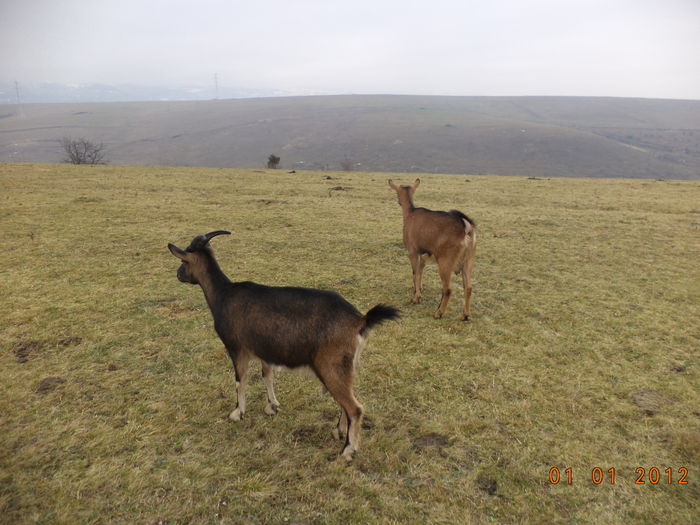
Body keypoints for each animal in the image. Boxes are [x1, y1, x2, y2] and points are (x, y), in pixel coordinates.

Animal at [167, 229, 400, 458]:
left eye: (184, 260)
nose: (178, 274)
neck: (223, 295)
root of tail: (360, 320)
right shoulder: (264, 350)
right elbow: (267, 376)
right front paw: (272, 406)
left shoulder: (237, 348)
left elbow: (240, 380)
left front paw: (237, 413)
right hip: (346, 368)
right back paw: (338, 432)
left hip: (330, 366)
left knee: (355, 408)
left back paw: (348, 450)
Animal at [388, 179, 476, 320]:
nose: (398, 201)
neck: (410, 214)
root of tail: (466, 227)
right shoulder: (424, 255)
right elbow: (420, 271)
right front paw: (418, 291)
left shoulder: (412, 251)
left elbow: (415, 272)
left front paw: (416, 298)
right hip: (469, 260)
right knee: (468, 287)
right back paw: (465, 315)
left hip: (445, 262)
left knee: (448, 289)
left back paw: (438, 313)